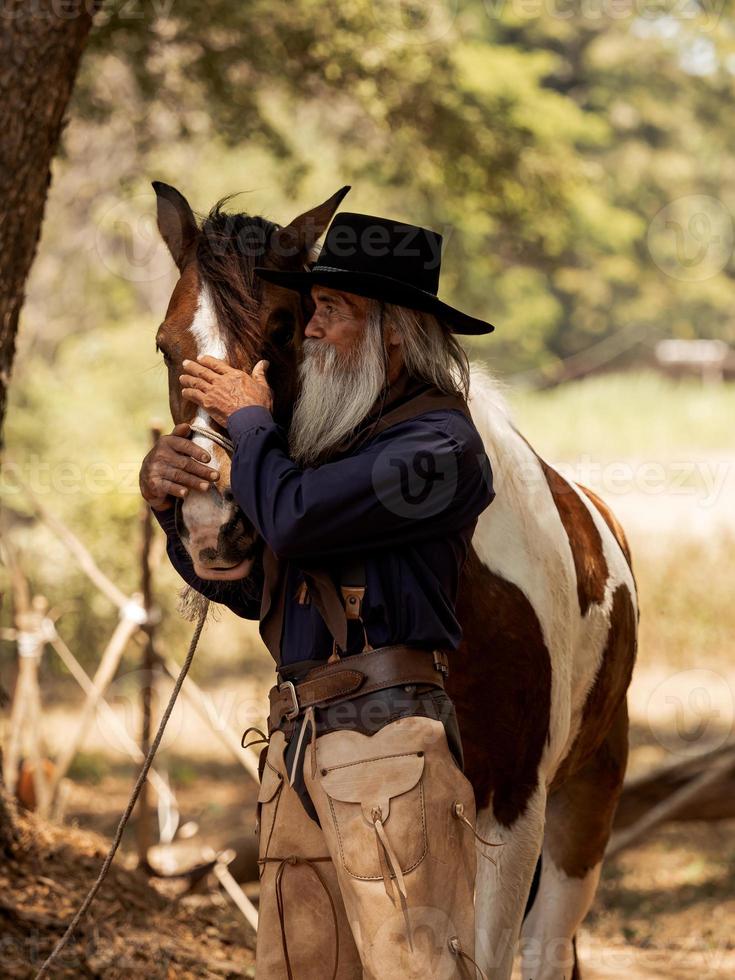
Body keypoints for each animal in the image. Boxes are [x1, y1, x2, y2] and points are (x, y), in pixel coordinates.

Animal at [151, 184, 640, 980]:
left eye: (284, 326)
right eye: (167, 344)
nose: (211, 523)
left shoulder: (513, 803)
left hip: (586, 797)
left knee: (545, 945)